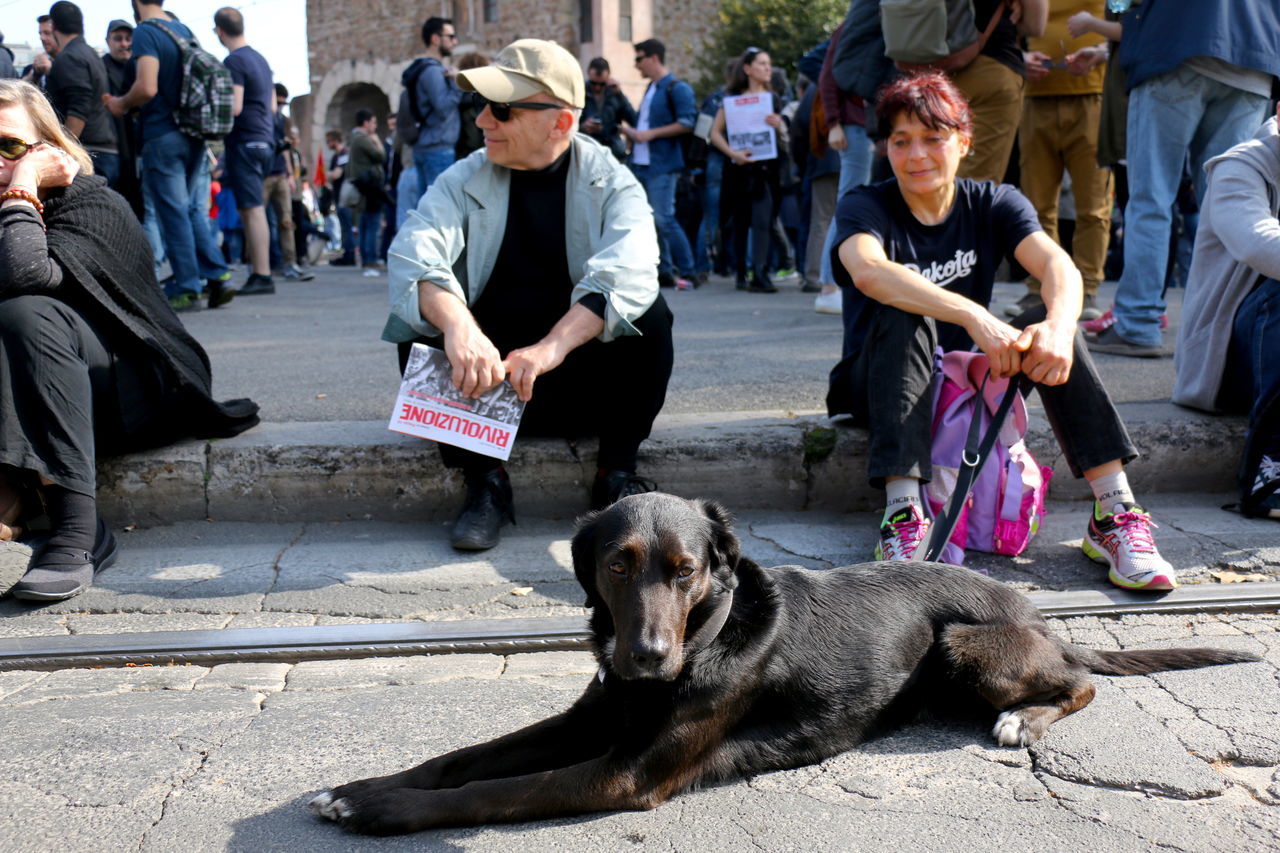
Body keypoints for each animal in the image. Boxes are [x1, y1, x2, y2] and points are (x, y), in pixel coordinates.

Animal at [312, 491, 1259, 829]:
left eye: (685, 569)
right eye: (618, 564)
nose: (645, 657)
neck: (702, 636)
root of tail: (1033, 609)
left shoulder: (623, 772)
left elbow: (496, 789)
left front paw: (379, 810)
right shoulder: (593, 717)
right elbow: (466, 757)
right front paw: (362, 785)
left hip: (969, 645)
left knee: (1083, 679)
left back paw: (1022, 718)